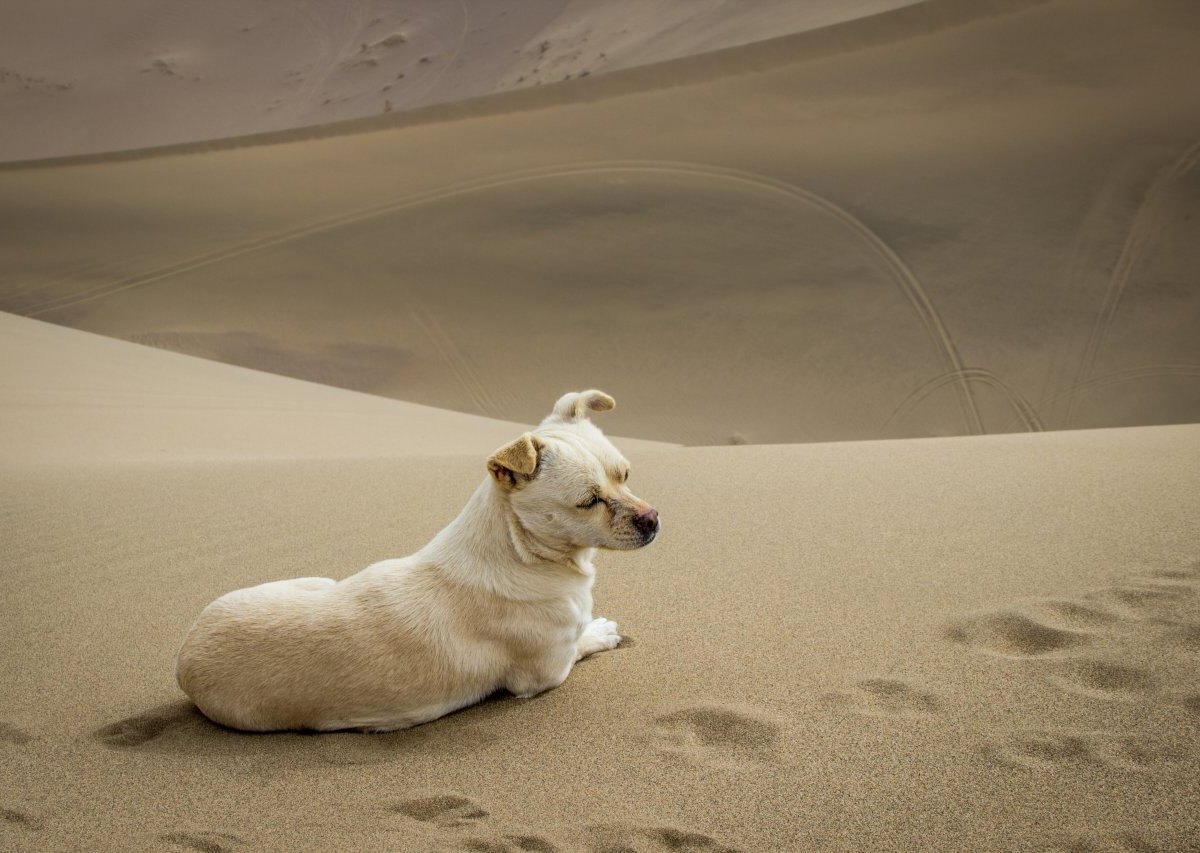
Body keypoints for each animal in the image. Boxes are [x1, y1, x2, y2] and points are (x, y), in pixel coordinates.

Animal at [175, 391, 662, 729]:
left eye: (626, 474)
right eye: (588, 502)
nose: (653, 519)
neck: (523, 550)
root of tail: (181, 661)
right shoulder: (547, 673)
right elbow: (582, 643)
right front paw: (601, 631)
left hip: (314, 579)